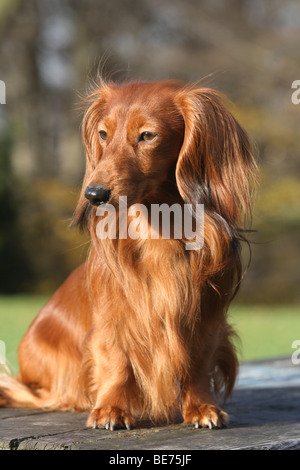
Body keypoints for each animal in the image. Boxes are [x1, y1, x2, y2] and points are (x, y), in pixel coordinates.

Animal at [0, 80, 258, 430]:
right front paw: (110, 408)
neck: (158, 228)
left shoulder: (206, 313)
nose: (94, 194)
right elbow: (116, 360)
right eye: (103, 134)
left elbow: (196, 362)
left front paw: (202, 407)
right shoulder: (114, 314)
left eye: (147, 135)